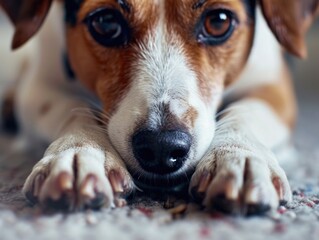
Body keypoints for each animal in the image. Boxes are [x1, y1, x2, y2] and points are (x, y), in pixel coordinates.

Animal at [0, 0, 318, 214]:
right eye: (106, 23)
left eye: (218, 22)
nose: (162, 147)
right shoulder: (38, 88)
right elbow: (72, 107)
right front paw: (80, 153)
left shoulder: (274, 87)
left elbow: (246, 112)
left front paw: (239, 158)